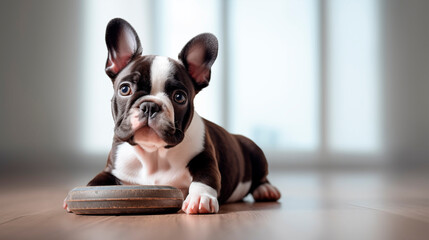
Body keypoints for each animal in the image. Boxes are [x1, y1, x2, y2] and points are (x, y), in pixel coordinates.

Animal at [63, 18, 280, 214]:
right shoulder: (111, 169)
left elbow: (206, 177)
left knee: (261, 177)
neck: (153, 153)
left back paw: (266, 189)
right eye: (125, 89)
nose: (150, 106)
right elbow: (96, 182)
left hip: (254, 150)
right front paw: (77, 196)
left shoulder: (205, 158)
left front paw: (199, 198)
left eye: (179, 97)